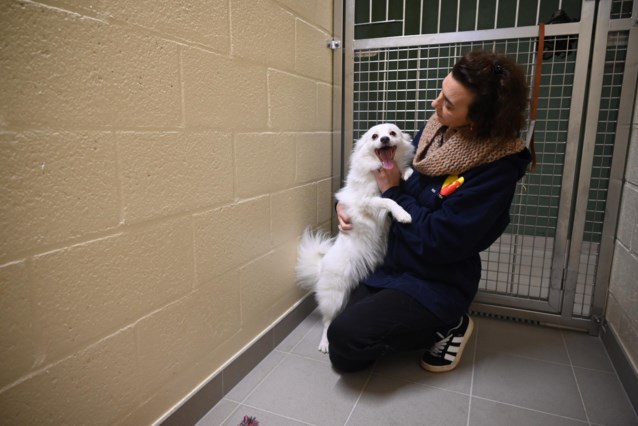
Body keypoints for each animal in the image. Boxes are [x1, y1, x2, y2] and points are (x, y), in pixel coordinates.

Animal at [296, 122, 416, 352]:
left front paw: (407, 172)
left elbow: (402, 173)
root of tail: (321, 266)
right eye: (375, 136)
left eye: (393, 133)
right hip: (335, 295)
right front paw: (403, 214)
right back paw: (325, 343)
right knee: (327, 321)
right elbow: (388, 200)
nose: (385, 139)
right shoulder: (367, 201)